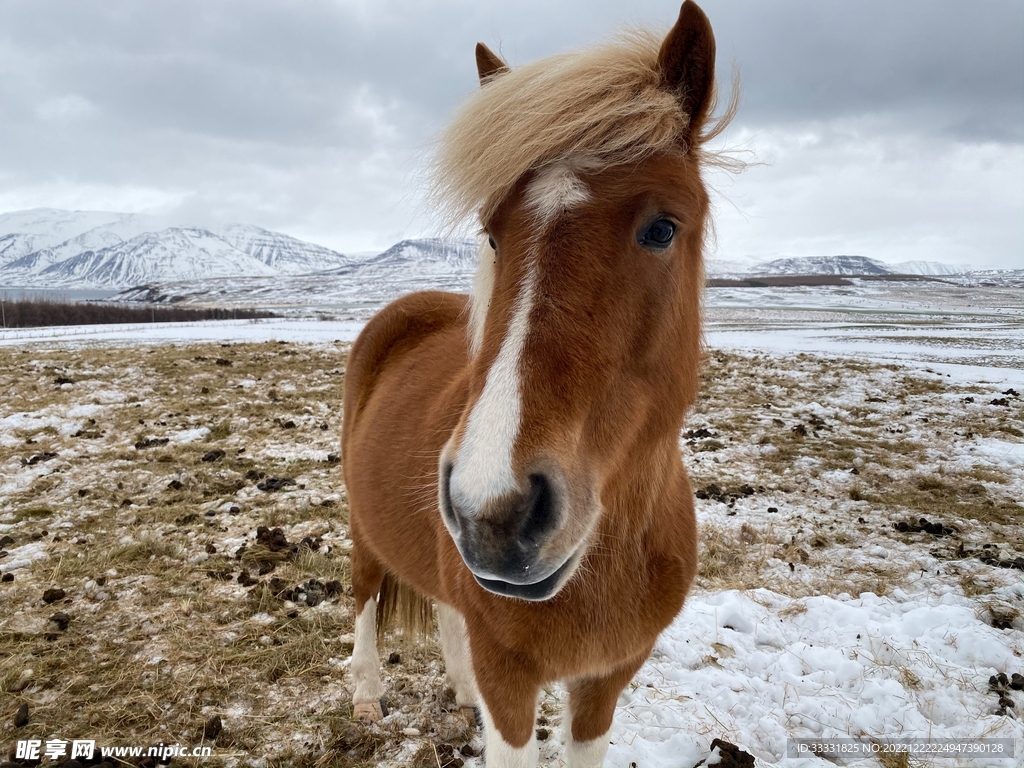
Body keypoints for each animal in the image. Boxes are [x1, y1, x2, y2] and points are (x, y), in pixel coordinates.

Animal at [341, 2, 730, 765]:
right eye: (493, 233)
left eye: (662, 228)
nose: (493, 511)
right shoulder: (512, 680)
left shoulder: (607, 681)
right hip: (364, 529)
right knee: (365, 595)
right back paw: (367, 695)